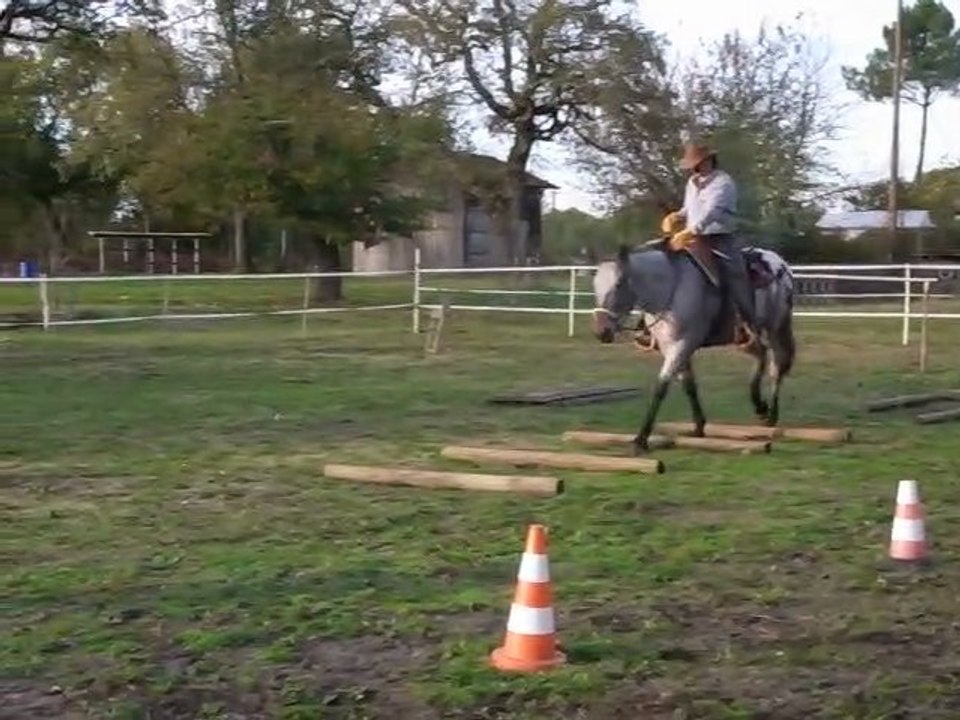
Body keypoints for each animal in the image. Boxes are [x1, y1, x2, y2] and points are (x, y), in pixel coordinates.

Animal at [591, 239, 796, 454]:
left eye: (619, 283)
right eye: (595, 284)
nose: (601, 331)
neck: (670, 288)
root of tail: (779, 263)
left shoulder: (682, 345)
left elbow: (661, 387)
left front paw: (641, 439)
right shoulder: (671, 347)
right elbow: (689, 384)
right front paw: (698, 426)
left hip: (776, 328)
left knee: (776, 366)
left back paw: (771, 415)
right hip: (744, 338)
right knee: (761, 355)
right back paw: (760, 406)